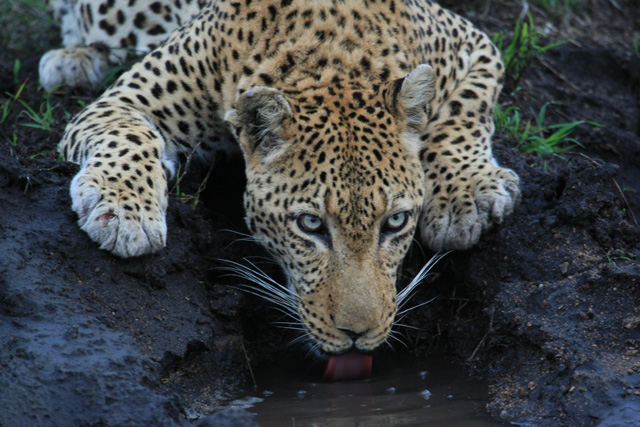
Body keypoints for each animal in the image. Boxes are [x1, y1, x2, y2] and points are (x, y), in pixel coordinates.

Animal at [48, 0, 520, 356]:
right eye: (310, 225)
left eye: (396, 223)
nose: (357, 335)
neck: (334, 55)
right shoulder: (123, 101)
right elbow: (131, 134)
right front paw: (124, 214)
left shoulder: (474, 44)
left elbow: (464, 111)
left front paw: (464, 198)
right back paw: (70, 61)